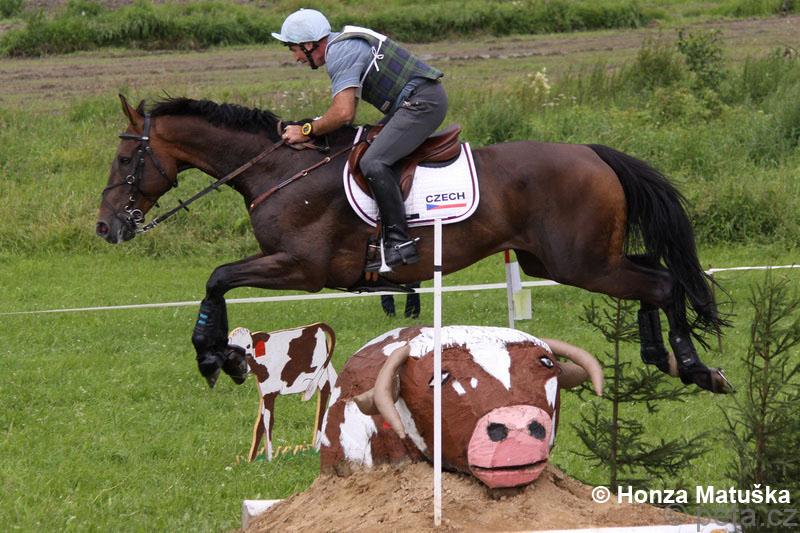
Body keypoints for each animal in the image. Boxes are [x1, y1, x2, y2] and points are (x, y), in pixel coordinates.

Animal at [96, 95, 732, 394]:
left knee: (662, 282)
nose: (107, 228)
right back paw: (658, 357)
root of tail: (594, 153)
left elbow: (218, 277)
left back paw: (694, 367)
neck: (279, 169)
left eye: (126, 159)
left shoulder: (301, 268)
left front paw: (215, 356)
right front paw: (223, 355)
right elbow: (220, 280)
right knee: (654, 274)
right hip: (561, 259)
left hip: (581, 262)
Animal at [227, 322, 337, 462]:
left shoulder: (270, 394)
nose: (241, 368)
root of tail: (318, 325)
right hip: (328, 369)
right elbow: (260, 424)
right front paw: (251, 459)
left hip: (320, 375)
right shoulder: (265, 393)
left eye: (248, 346)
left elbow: (268, 421)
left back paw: (318, 447)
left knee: (324, 398)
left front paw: (269, 458)